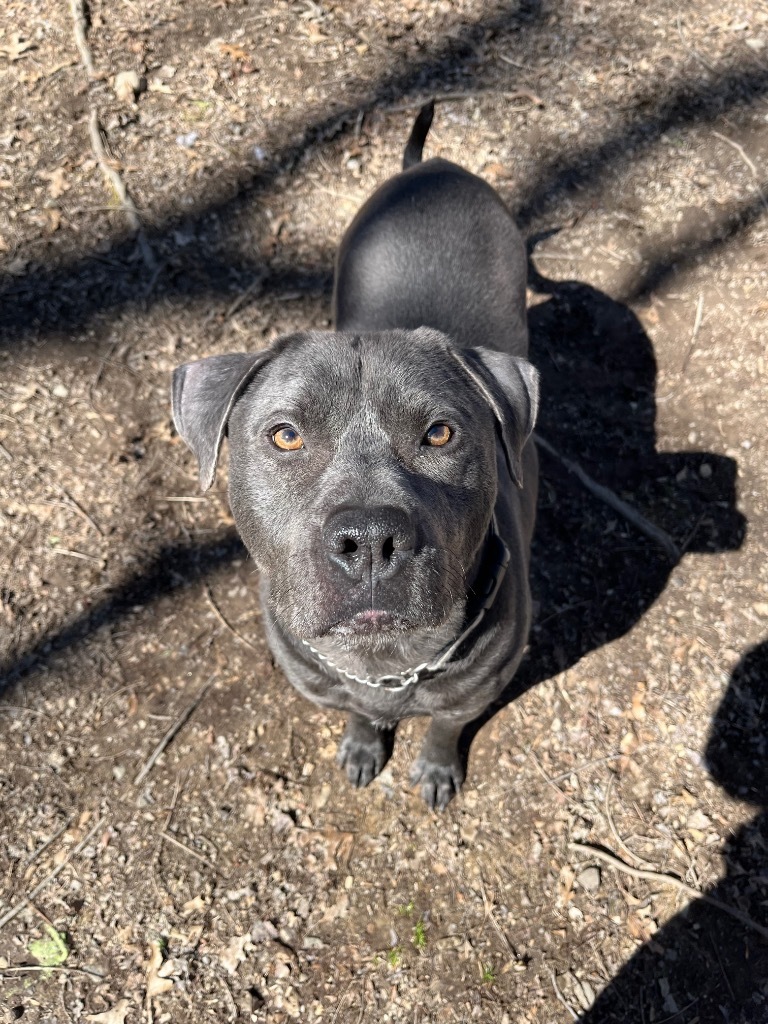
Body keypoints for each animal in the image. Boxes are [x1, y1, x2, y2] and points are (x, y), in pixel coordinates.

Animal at [171, 103, 536, 806]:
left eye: (440, 433)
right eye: (285, 435)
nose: (369, 539)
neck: (387, 665)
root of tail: (430, 166)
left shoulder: (473, 693)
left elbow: (444, 727)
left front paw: (436, 768)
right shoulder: (327, 685)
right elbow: (359, 714)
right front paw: (365, 746)